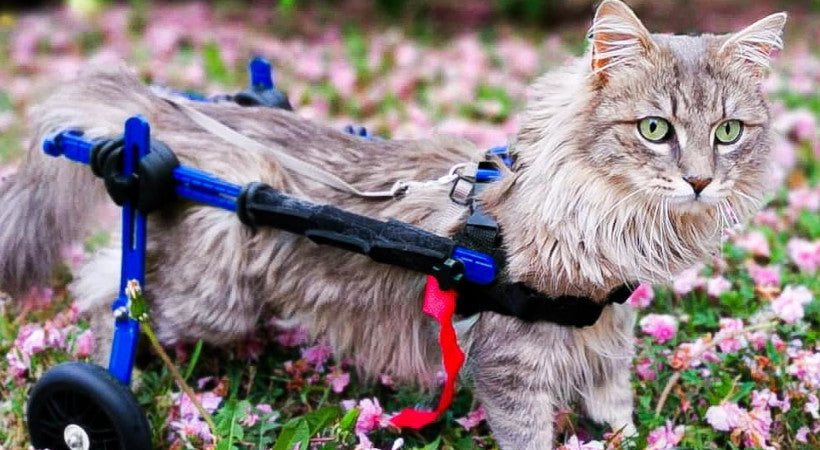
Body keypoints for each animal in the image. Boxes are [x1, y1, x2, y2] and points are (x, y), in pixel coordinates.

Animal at [0, 1, 784, 448]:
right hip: (204, 291)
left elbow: (616, 413)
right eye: (655, 129)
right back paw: (105, 386)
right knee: (113, 298)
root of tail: (163, 123)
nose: (700, 180)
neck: (611, 224)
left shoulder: (609, 343)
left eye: (728, 132)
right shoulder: (513, 369)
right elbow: (531, 432)